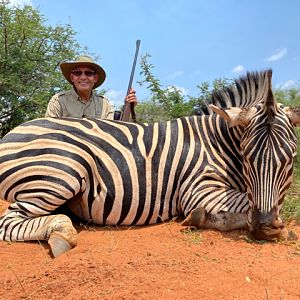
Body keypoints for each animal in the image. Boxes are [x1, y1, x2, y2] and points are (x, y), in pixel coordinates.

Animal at [0, 69, 300, 256]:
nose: (264, 227)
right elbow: (245, 206)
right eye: (247, 157)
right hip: (63, 171)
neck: (217, 142)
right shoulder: (197, 189)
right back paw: (61, 233)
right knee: (9, 221)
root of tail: (11, 133)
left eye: (291, 159)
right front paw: (200, 217)